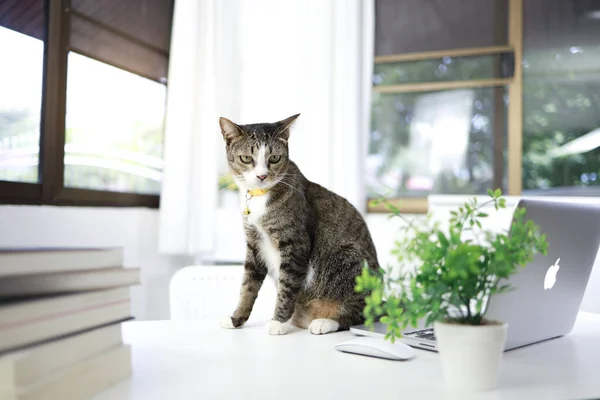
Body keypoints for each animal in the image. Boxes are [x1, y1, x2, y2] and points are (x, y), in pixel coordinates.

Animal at [219, 113, 380, 334]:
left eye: (274, 158)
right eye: (246, 159)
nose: (261, 176)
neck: (260, 197)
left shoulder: (295, 243)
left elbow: (287, 286)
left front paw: (278, 322)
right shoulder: (254, 244)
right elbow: (247, 286)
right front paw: (236, 319)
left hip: (348, 257)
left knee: (361, 313)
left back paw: (325, 322)